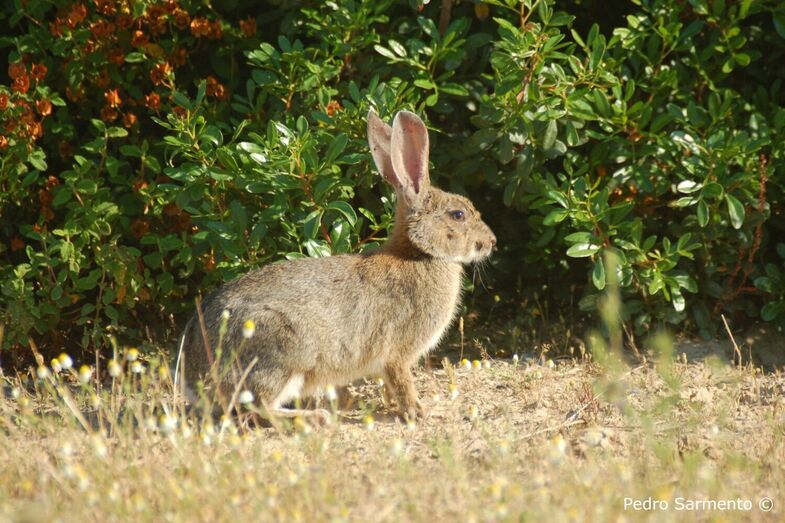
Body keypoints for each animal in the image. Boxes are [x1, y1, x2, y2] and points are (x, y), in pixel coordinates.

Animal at [177, 109, 496, 423]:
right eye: (458, 215)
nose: (491, 241)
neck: (419, 252)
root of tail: (195, 378)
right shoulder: (397, 352)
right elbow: (401, 381)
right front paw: (418, 412)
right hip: (281, 352)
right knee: (257, 408)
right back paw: (314, 416)